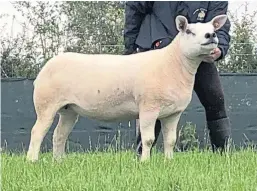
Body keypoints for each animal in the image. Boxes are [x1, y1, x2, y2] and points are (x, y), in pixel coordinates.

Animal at [26, 14, 226, 162]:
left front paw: (169, 162)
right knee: (37, 132)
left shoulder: (173, 113)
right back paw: (32, 161)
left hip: (69, 109)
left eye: (213, 29)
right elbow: (148, 139)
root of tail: (45, 68)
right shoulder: (148, 108)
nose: (211, 36)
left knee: (59, 135)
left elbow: (170, 140)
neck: (173, 63)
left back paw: (58, 161)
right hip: (46, 104)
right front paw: (145, 163)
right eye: (189, 31)